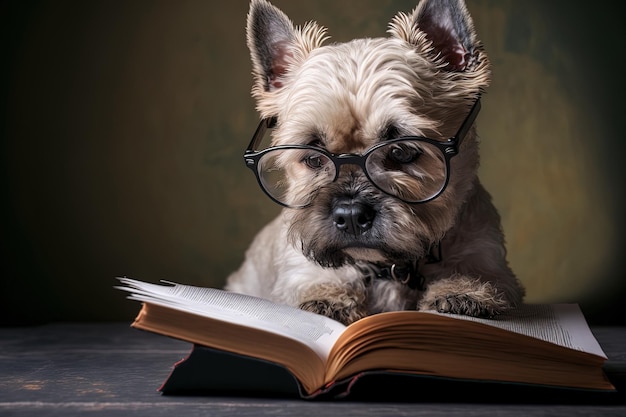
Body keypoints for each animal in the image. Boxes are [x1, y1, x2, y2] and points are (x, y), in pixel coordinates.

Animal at [224, 0, 520, 324]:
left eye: (402, 152)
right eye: (313, 158)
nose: (351, 214)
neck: (390, 268)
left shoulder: (486, 255)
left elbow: (479, 274)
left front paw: (463, 289)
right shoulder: (300, 270)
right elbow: (315, 279)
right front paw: (329, 296)